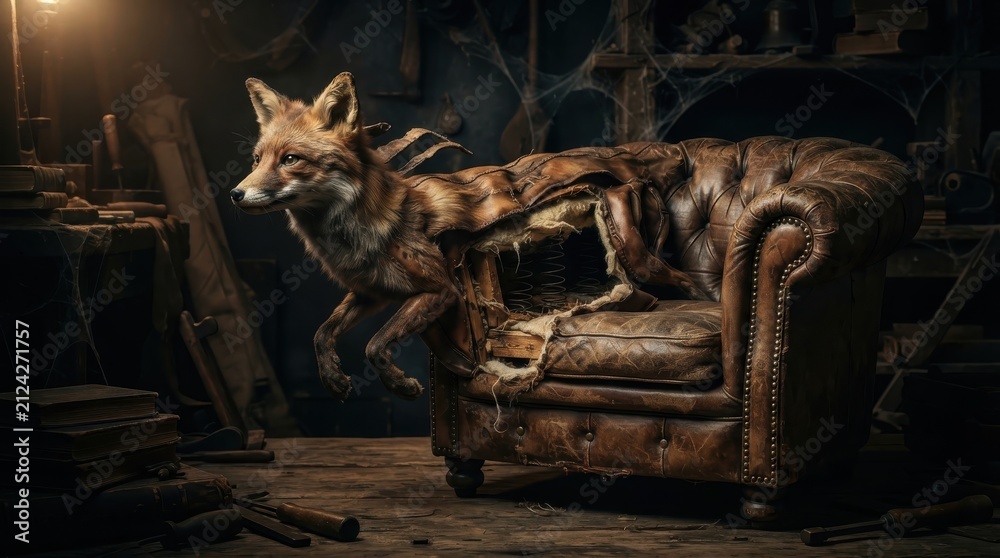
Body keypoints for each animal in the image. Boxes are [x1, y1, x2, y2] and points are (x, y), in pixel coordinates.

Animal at [231, 72, 707, 402]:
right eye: (257, 159)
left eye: (291, 159)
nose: (235, 194)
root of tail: (632, 156)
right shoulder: (373, 293)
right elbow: (321, 332)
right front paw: (332, 375)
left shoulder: (440, 290)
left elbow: (375, 345)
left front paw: (400, 385)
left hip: (639, 258)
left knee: (683, 283)